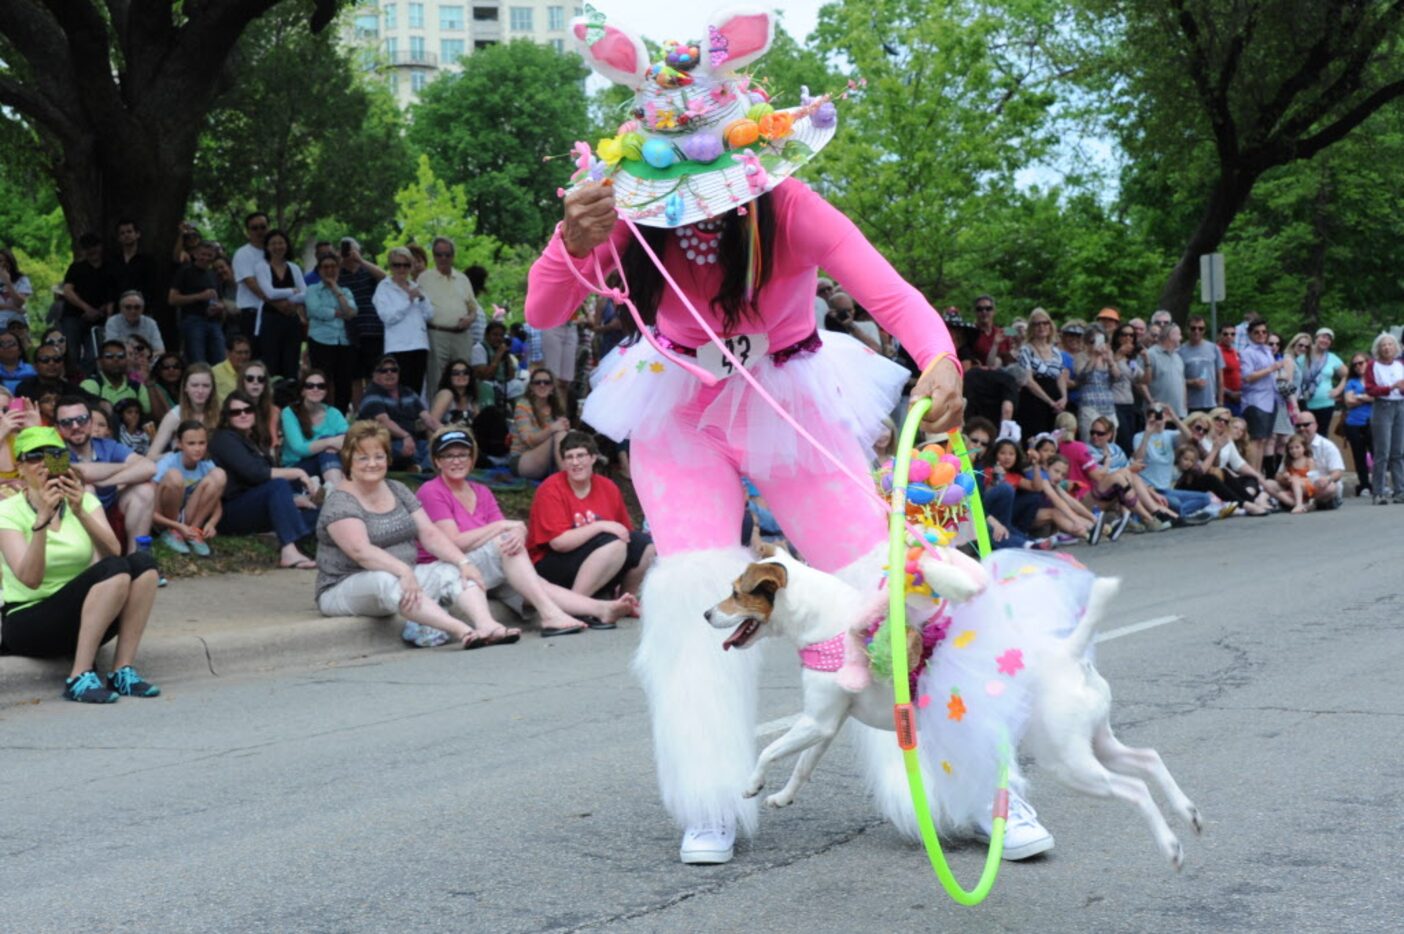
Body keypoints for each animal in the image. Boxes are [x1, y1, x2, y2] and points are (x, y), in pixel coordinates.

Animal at [707, 547, 1201, 865]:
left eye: (736, 592)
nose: (707, 614)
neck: (826, 622)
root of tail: (1068, 653)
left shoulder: (817, 721)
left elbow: (770, 750)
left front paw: (751, 785)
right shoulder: (826, 724)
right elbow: (802, 765)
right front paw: (783, 796)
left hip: (1070, 762)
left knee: (1133, 788)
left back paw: (1171, 846)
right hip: (1094, 742)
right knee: (1147, 759)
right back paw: (1188, 814)